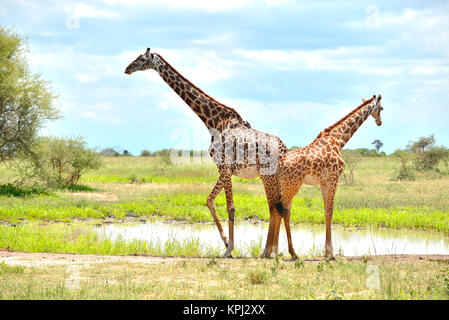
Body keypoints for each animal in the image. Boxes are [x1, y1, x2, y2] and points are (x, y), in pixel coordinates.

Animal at [123, 47, 288, 258]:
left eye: (142, 59)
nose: (127, 68)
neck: (213, 121)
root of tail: (284, 149)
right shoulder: (224, 170)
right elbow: (209, 200)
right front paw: (225, 243)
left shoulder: (224, 167)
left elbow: (230, 208)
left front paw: (229, 248)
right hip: (272, 176)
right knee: (277, 207)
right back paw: (273, 251)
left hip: (267, 175)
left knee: (273, 207)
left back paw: (267, 251)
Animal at [264, 95, 384, 260]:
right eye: (381, 108)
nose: (379, 122)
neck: (338, 140)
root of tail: (280, 164)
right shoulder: (334, 178)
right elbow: (330, 212)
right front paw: (330, 253)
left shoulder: (323, 182)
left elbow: (326, 212)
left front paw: (327, 252)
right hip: (293, 185)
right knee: (285, 211)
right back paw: (291, 253)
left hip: (283, 185)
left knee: (278, 209)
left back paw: (275, 252)